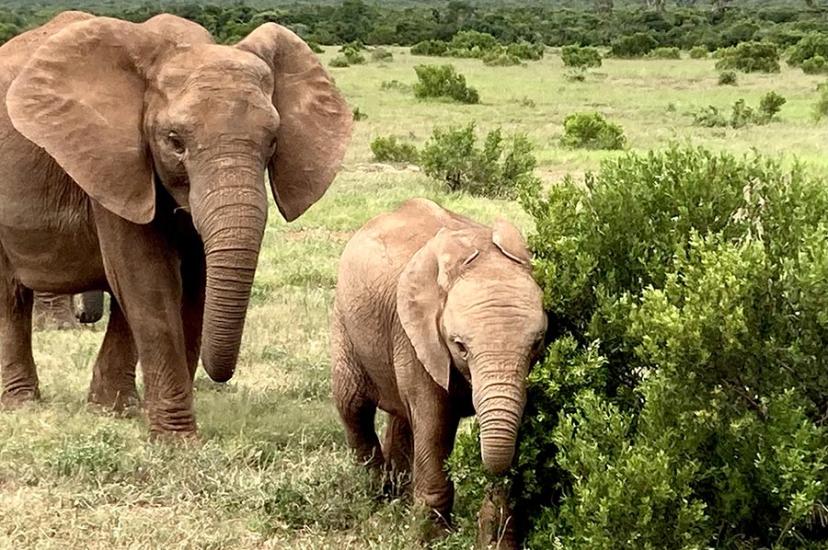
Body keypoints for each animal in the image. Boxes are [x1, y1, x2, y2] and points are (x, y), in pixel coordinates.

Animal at [0, 11, 351, 435]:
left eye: (272, 142)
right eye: (174, 142)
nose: (218, 377)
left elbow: (195, 285)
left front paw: (137, 417)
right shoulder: (113, 161)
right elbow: (148, 281)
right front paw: (177, 438)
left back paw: (112, 408)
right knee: (9, 297)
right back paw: (22, 404)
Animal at [331, 198, 546, 534]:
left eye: (537, 343)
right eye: (460, 346)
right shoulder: (414, 335)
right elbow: (434, 422)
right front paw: (432, 537)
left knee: (401, 415)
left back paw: (398, 497)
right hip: (344, 321)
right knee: (353, 406)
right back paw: (377, 497)